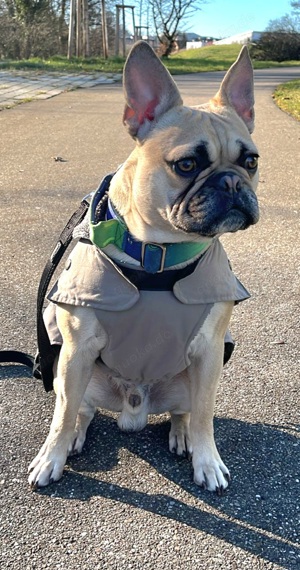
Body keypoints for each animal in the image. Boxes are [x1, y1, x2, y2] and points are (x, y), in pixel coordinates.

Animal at [27, 41, 258, 492]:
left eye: (251, 162)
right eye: (187, 165)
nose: (232, 181)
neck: (159, 256)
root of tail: (133, 410)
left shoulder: (209, 354)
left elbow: (205, 417)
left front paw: (207, 459)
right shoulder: (78, 350)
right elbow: (61, 417)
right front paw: (51, 458)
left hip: (190, 377)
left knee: (186, 412)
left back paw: (183, 437)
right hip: (68, 370)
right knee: (76, 407)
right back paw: (75, 435)